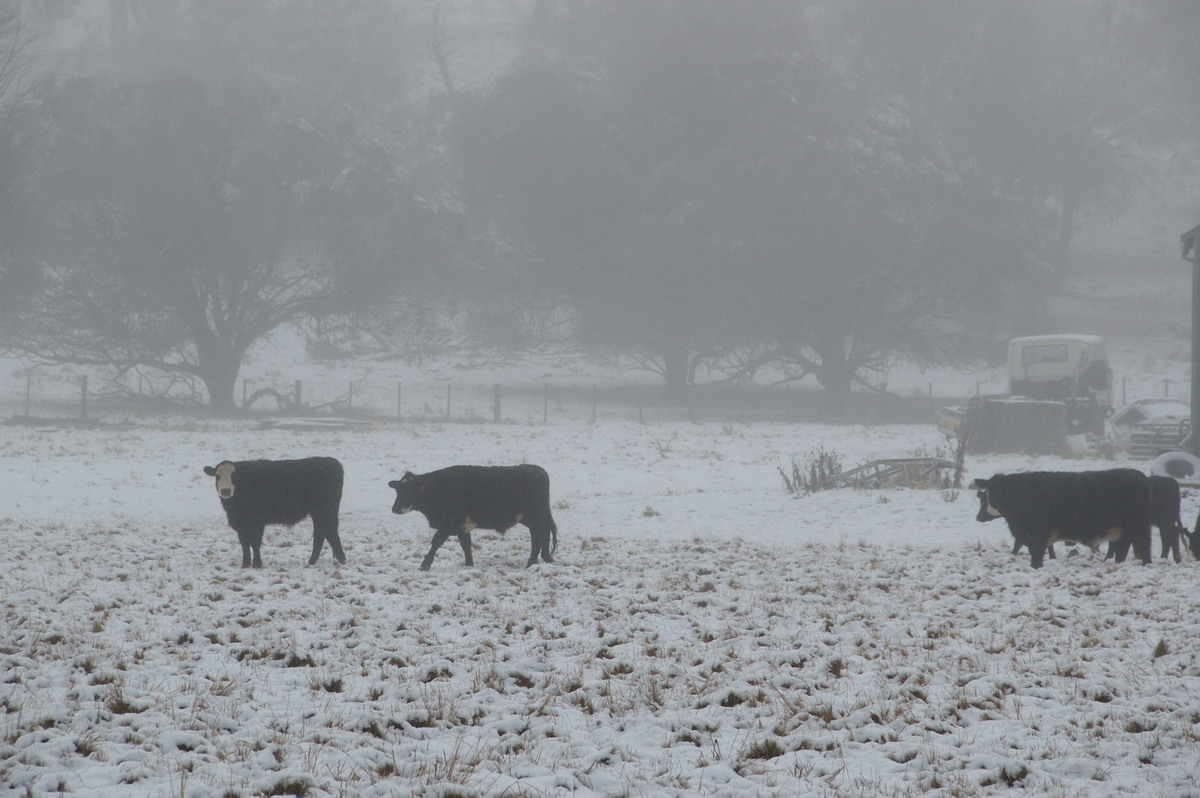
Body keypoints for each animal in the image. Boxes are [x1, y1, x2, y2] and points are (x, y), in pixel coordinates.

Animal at [202, 453, 348, 566]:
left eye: (234, 475)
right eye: (217, 475)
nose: (225, 490)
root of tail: (331, 461)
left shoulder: (258, 521)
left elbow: (255, 542)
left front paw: (257, 564)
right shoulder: (240, 523)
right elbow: (244, 543)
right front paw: (245, 564)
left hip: (322, 511)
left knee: (322, 534)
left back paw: (315, 561)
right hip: (328, 511)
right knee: (329, 532)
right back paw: (337, 559)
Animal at [393, 463, 561, 568]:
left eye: (409, 490)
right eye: (398, 490)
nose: (394, 509)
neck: (437, 489)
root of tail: (537, 469)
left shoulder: (448, 525)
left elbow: (436, 542)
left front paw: (424, 565)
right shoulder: (462, 527)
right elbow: (466, 546)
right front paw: (469, 565)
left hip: (535, 518)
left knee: (538, 540)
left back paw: (530, 564)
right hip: (537, 519)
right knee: (545, 535)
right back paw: (547, 559)